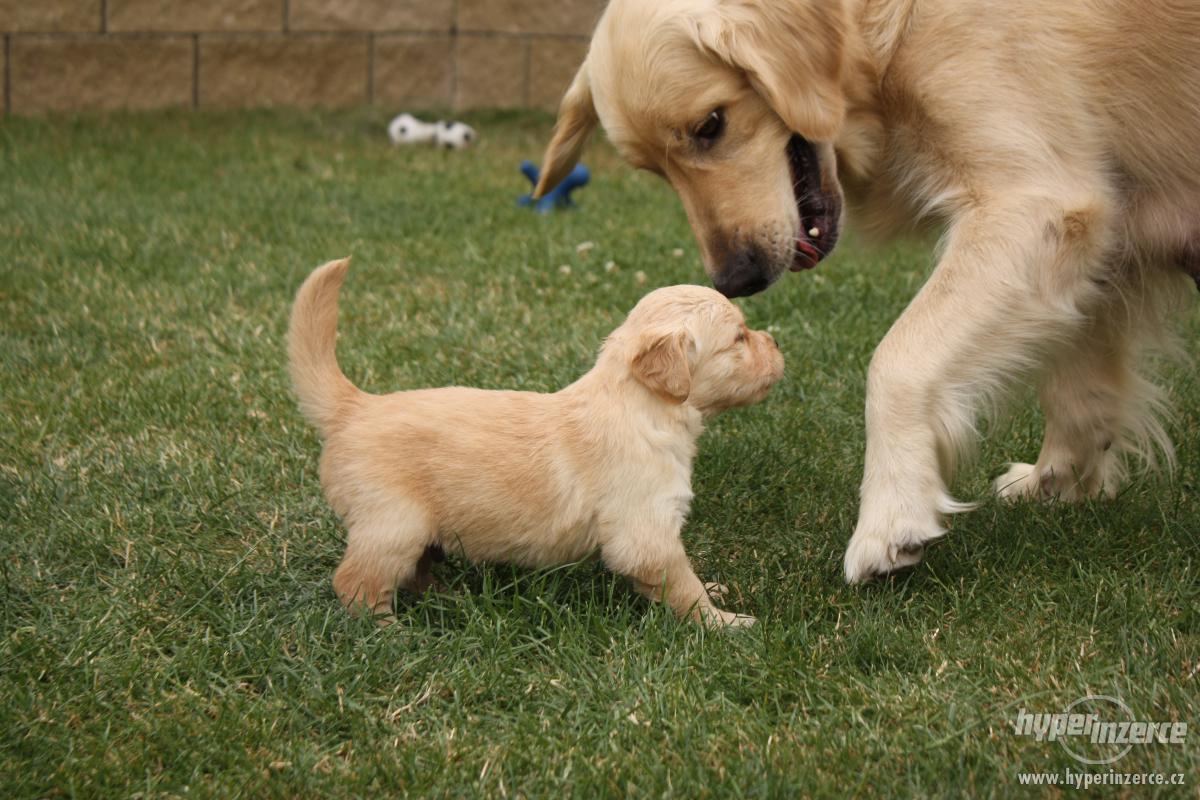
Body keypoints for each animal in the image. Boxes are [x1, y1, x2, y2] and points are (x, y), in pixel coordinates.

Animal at [285, 260, 782, 628]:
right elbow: (681, 584)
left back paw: (448, 598)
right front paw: (724, 622)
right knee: (356, 582)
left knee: (412, 572)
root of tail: (355, 406)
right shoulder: (646, 529)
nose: (776, 342)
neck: (641, 408)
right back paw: (389, 631)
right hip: (392, 522)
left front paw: (716, 593)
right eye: (739, 337)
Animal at [540, 3, 1200, 585]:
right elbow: (1081, 389)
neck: (888, 32)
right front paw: (1060, 478)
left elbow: (897, 360)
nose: (736, 280)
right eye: (655, 171)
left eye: (710, 126)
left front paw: (890, 517)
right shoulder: (1101, 235)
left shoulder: (1039, 204)